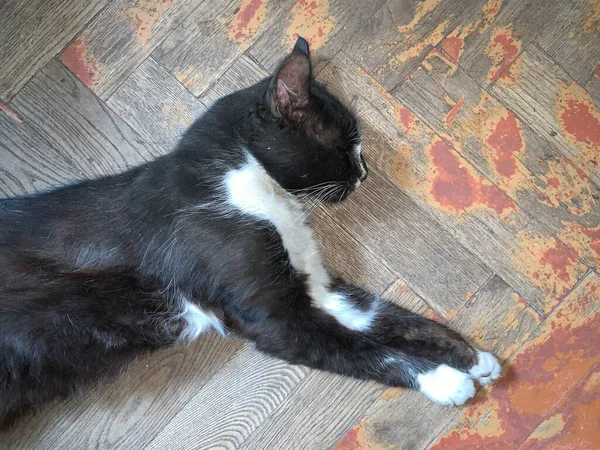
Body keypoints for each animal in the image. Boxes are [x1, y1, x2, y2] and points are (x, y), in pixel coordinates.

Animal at [0, 37, 502, 428]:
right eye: (345, 146)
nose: (364, 173)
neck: (255, 187)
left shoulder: (318, 288)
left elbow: (396, 319)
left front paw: (471, 357)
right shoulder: (275, 318)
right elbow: (365, 350)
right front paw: (444, 380)